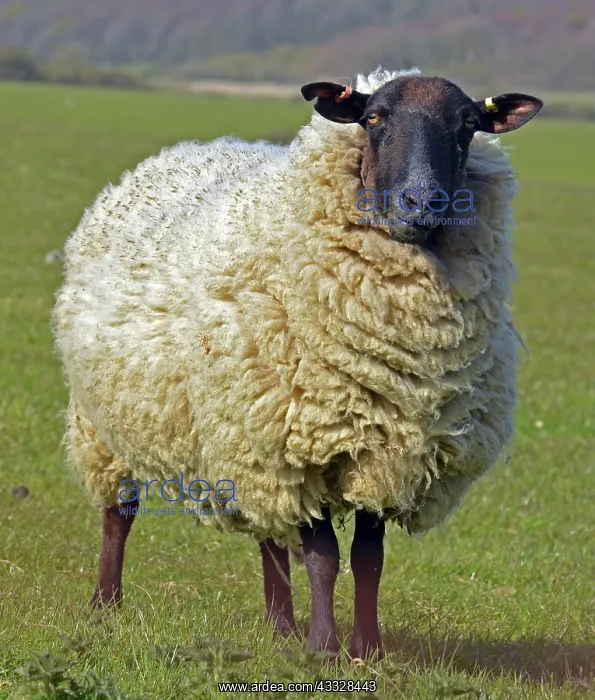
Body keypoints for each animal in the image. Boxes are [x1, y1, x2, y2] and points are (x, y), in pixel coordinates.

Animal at [52, 67, 543, 660]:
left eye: (469, 124)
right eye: (372, 118)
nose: (421, 202)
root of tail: (169, 157)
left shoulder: (383, 450)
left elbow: (368, 559)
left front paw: (367, 649)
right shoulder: (303, 446)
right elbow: (323, 557)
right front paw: (325, 648)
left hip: (244, 433)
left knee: (269, 531)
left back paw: (279, 626)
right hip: (108, 421)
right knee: (118, 514)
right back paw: (106, 604)